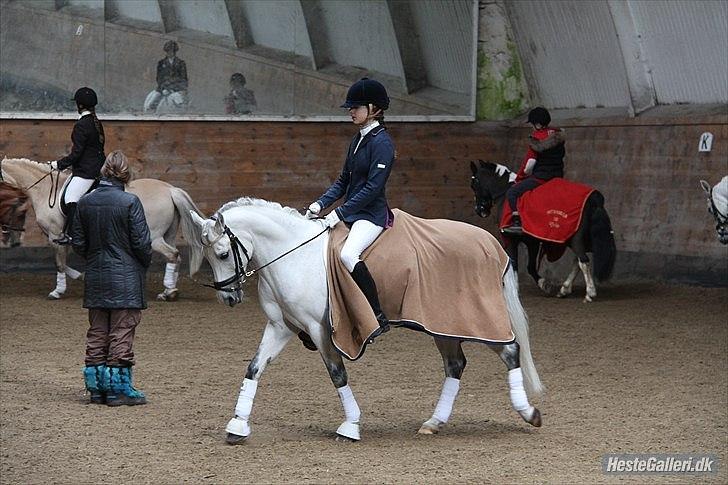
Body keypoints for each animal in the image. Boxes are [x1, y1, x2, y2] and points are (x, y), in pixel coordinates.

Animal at [1, 157, 205, 298]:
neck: (44, 190)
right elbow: (63, 264)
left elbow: (59, 264)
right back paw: (169, 290)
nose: (14, 242)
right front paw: (82, 277)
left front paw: (58, 291)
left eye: (20, 211)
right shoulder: (61, 239)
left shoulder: (56, 236)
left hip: (152, 238)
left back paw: (168, 291)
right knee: (176, 256)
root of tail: (170, 189)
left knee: (173, 254)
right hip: (168, 234)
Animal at [185, 197, 544, 442]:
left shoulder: (320, 330)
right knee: (455, 365)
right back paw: (433, 423)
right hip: (443, 325)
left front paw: (351, 425)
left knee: (510, 351)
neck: (294, 255)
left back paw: (529, 413)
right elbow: (254, 368)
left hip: (472, 320)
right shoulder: (281, 328)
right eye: (209, 257)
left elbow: (337, 374)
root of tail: (491, 243)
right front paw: (237, 426)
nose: (228, 298)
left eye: (222, 254)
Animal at [470, 161, 616, 300]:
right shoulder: (532, 241)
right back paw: (564, 289)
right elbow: (529, 266)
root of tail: (594, 199)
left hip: (577, 239)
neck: (505, 191)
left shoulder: (513, 239)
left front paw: (534, 286)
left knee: (583, 261)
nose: (479, 210)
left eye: (474, 183)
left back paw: (590, 292)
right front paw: (543, 284)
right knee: (578, 261)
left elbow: (517, 264)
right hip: (580, 239)